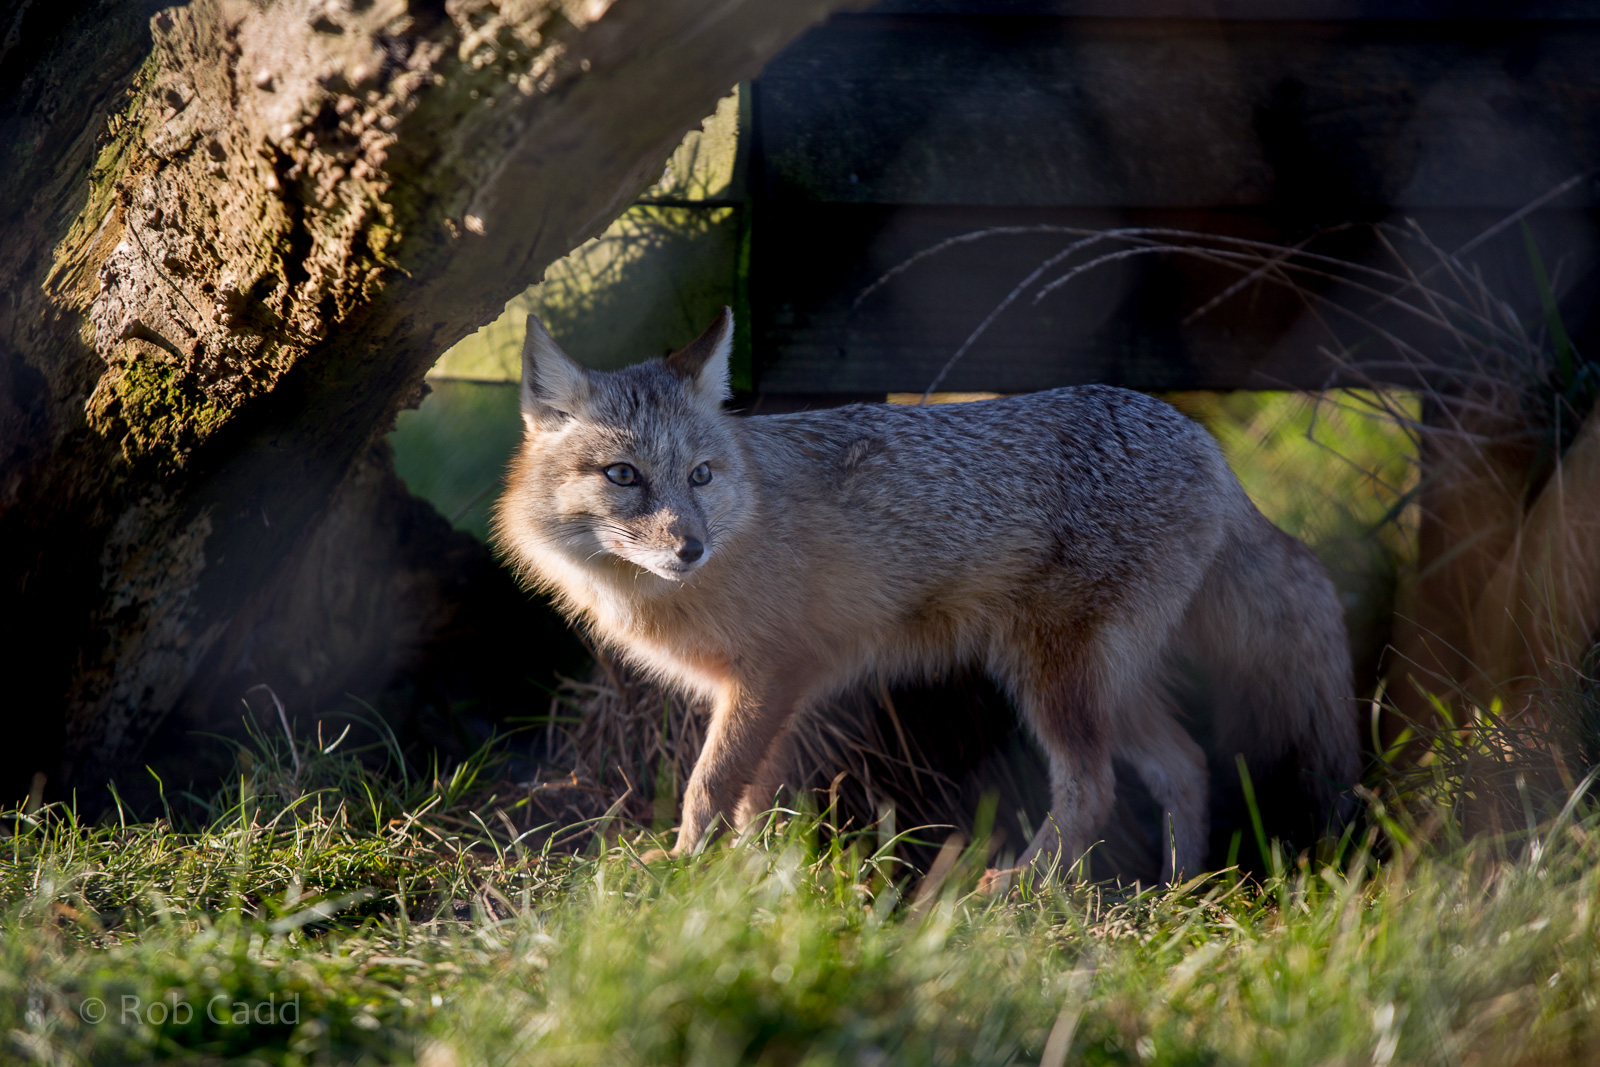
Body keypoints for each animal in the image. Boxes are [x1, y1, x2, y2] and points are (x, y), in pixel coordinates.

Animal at [493, 307, 1361, 881]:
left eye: (700, 476)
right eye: (624, 475)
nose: (690, 548)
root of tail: (1206, 443)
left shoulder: (771, 676)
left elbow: (710, 786)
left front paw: (679, 870)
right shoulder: (772, 692)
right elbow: (750, 799)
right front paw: (740, 878)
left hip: (1054, 677)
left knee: (1093, 787)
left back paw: (1021, 891)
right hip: (1107, 682)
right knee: (1183, 763)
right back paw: (1176, 891)